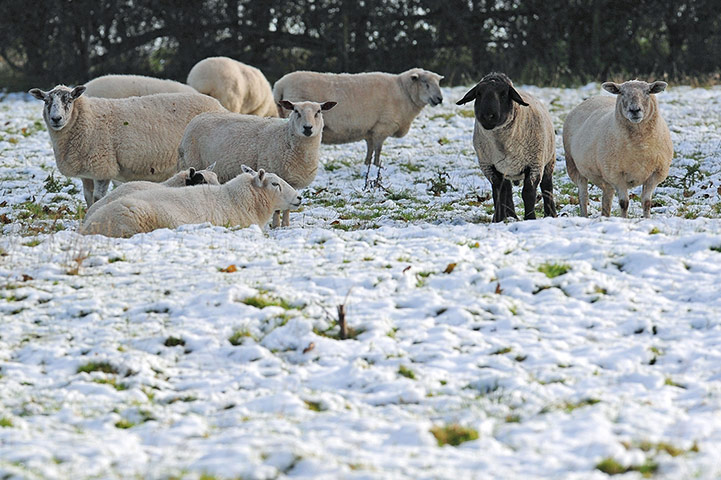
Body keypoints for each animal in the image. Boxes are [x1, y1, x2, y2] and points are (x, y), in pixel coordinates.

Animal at [28, 85, 226, 206]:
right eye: (46, 101)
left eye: (69, 100)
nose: (56, 119)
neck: (85, 119)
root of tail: (220, 106)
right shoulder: (87, 172)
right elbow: (88, 198)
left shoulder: (103, 167)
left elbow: (98, 198)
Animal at [178, 100, 336, 227]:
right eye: (296, 111)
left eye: (318, 111)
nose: (307, 128)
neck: (285, 136)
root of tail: (200, 116)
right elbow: (277, 208)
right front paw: (276, 226)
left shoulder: (291, 181)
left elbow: (287, 206)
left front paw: (286, 225)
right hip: (190, 161)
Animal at [272, 68, 443, 187]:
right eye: (426, 84)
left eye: (438, 83)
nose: (439, 99)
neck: (404, 92)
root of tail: (279, 86)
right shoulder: (382, 126)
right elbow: (378, 149)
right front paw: (377, 166)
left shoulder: (371, 130)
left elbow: (370, 148)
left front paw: (367, 165)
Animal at [456, 72, 557, 222]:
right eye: (479, 93)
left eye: (504, 93)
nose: (488, 116)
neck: (503, 144)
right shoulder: (489, 166)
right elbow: (498, 192)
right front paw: (498, 219)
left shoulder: (534, 164)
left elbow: (528, 193)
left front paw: (530, 218)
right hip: (506, 168)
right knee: (507, 189)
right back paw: (510, 215)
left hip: (549, 159)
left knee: (547, 186)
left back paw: (551, 214)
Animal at [562, 80, 673, 218]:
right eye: (622, 93)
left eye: (648, 92)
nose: (634, 110)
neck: (639, 146)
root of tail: (593, 98)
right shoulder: (616, 174)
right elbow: (624, 203)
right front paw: (624, 219)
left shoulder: (656, 174)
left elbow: (647, 202)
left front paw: (647, 219)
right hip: (574, 166)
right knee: (583, 196)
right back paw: (584, 216)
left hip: (605, 176)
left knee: (606, 198)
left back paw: (605, 216)